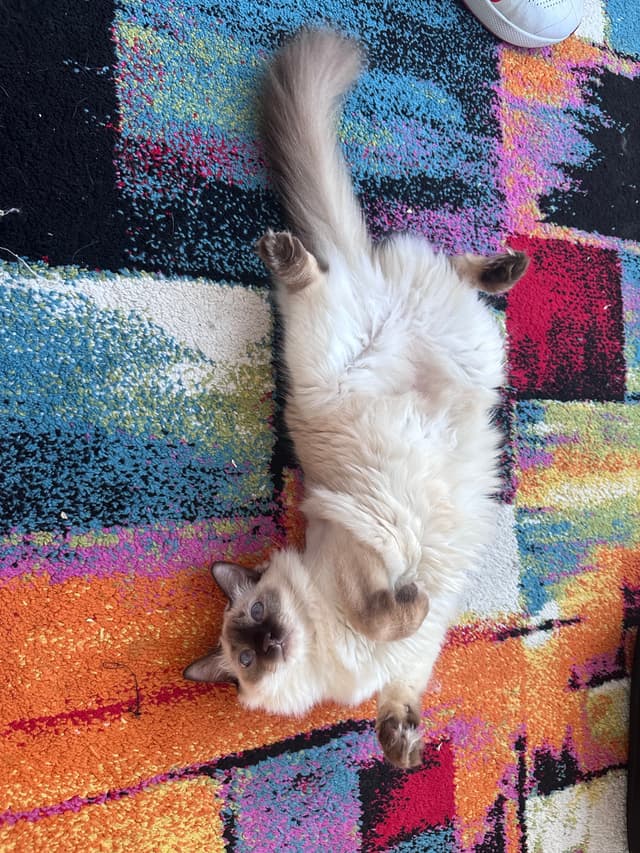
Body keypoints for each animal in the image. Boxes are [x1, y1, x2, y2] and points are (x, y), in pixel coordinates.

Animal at [184, 26, 524, 764]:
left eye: (257, 617)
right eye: (246, 657)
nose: (268, 640)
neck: (323, 638)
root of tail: (367, 286)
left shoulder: (370, 577)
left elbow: (391, 618)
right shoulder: (408, 653)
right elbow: (399, 675)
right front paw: (401, 748)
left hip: (331, 342)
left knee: (330, 274)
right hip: (455, 339)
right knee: (448, 269)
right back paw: (507, 266)